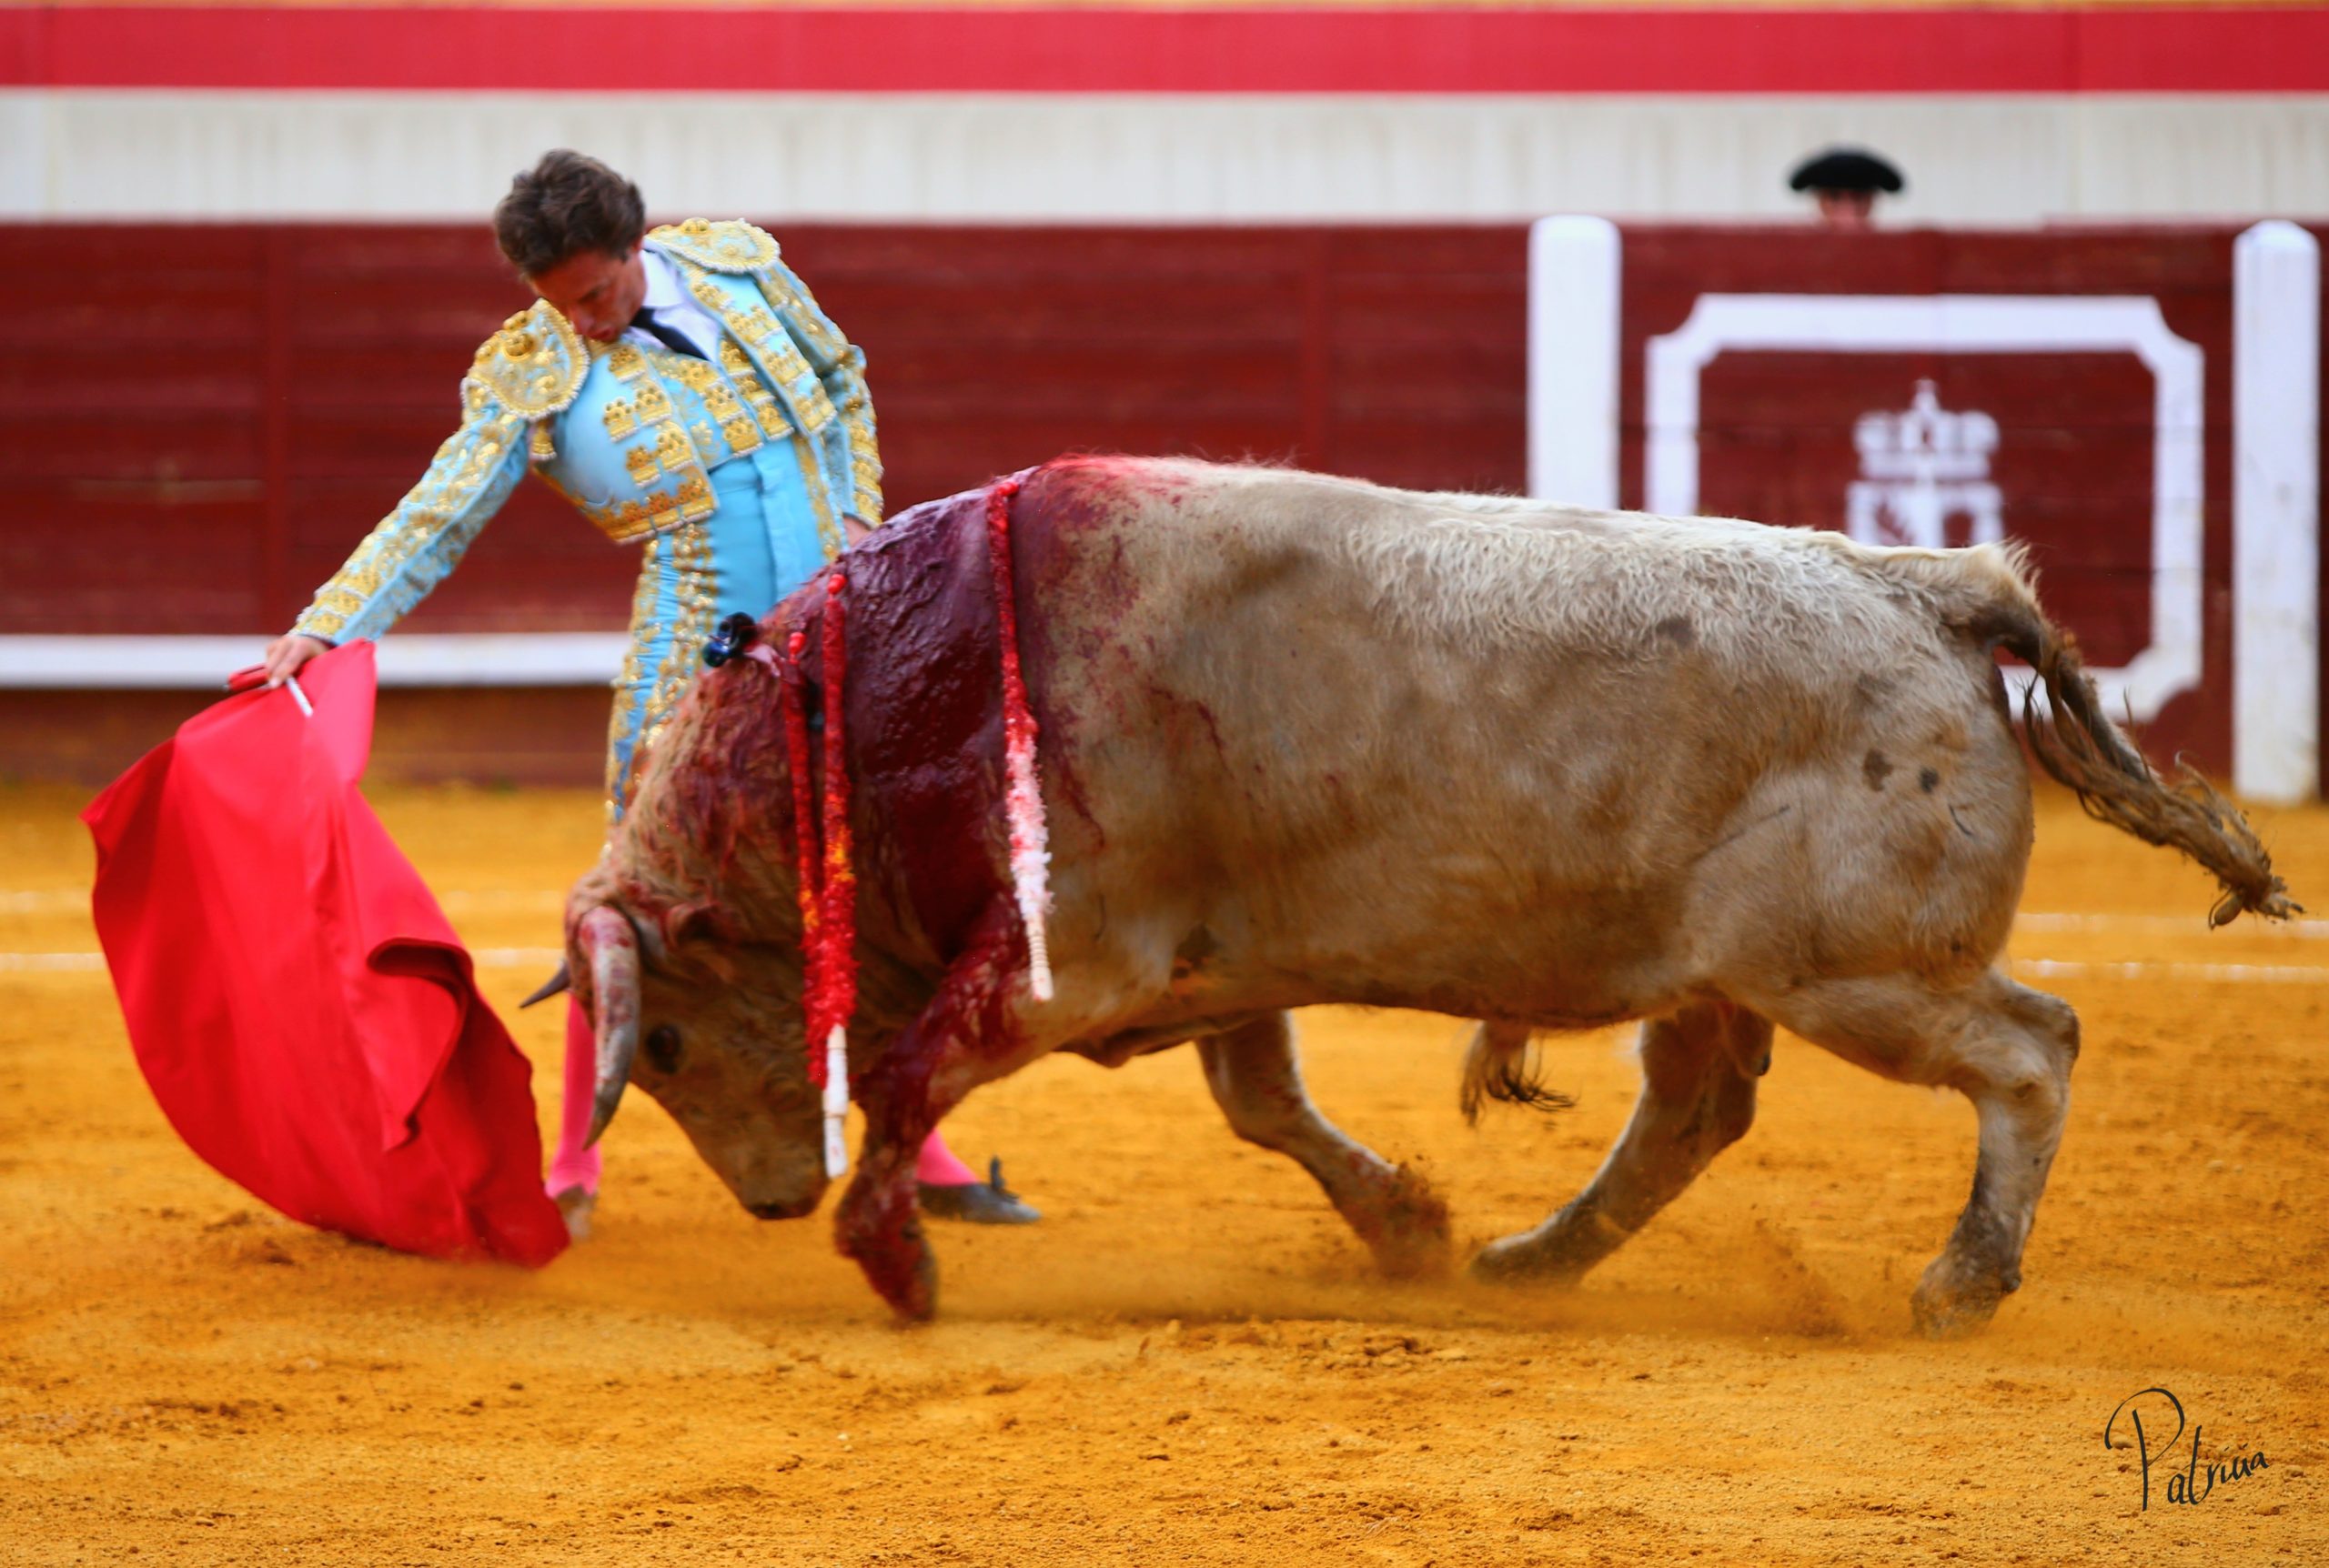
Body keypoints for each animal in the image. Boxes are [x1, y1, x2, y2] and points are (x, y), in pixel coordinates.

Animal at [547, 456, 2291, 1332]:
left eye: (670, 1045)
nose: (773, 1198)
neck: (900, 696)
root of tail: (1932, 585)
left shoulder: (1064, 961)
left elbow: (913, 1071)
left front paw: (894, 1258)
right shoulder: (1215, 963)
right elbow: (1261, 1102)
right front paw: (1407, 1224)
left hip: (1858, 969)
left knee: (2031, 1048)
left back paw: (1961, 1281)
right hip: (1734, 970)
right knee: (1694, 1109)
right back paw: (1531, 1263)